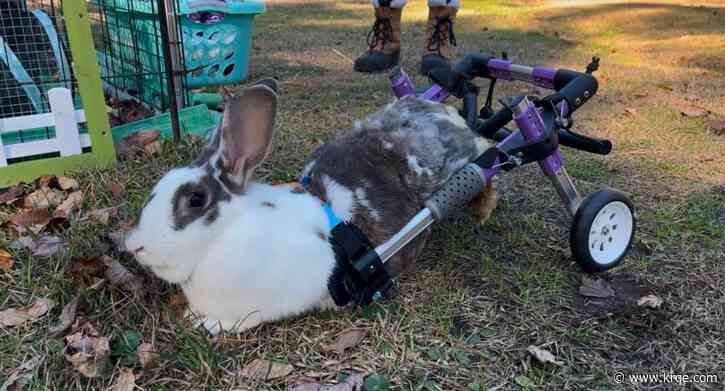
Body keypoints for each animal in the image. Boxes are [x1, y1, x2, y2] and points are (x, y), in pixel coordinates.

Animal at [126, 78, 498, 336]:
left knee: (488, 152)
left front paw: (207, 324)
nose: (134, 246)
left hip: (465, 159)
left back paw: (484, 206)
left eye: (195, 200)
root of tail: (442, 111)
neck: (224, 236)